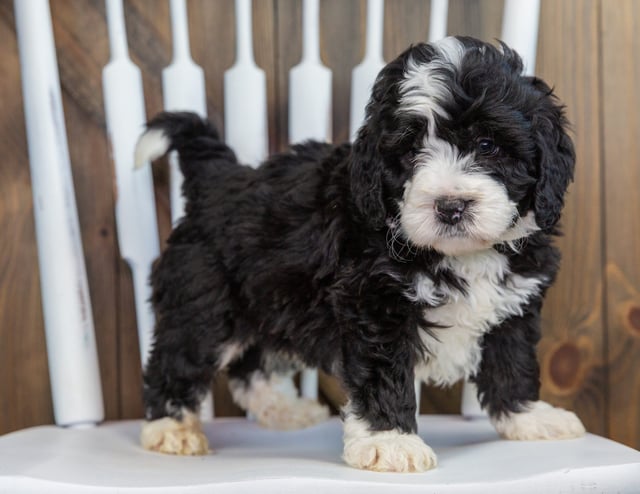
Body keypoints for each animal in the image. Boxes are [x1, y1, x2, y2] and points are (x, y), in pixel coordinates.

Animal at [135, 36, 584, 472]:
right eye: (410, 152)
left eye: (488, 145)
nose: (450, 207)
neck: (459, 254)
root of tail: (219, 178)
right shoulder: (373, 303)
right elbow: (384, 374)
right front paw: (390, 441)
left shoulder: (513, 306)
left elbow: (512, 363)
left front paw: (527, 417)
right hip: (206, 303)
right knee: (180, 357)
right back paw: (171, 428)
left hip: (267, 296)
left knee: (252, 365)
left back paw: (283, 410)